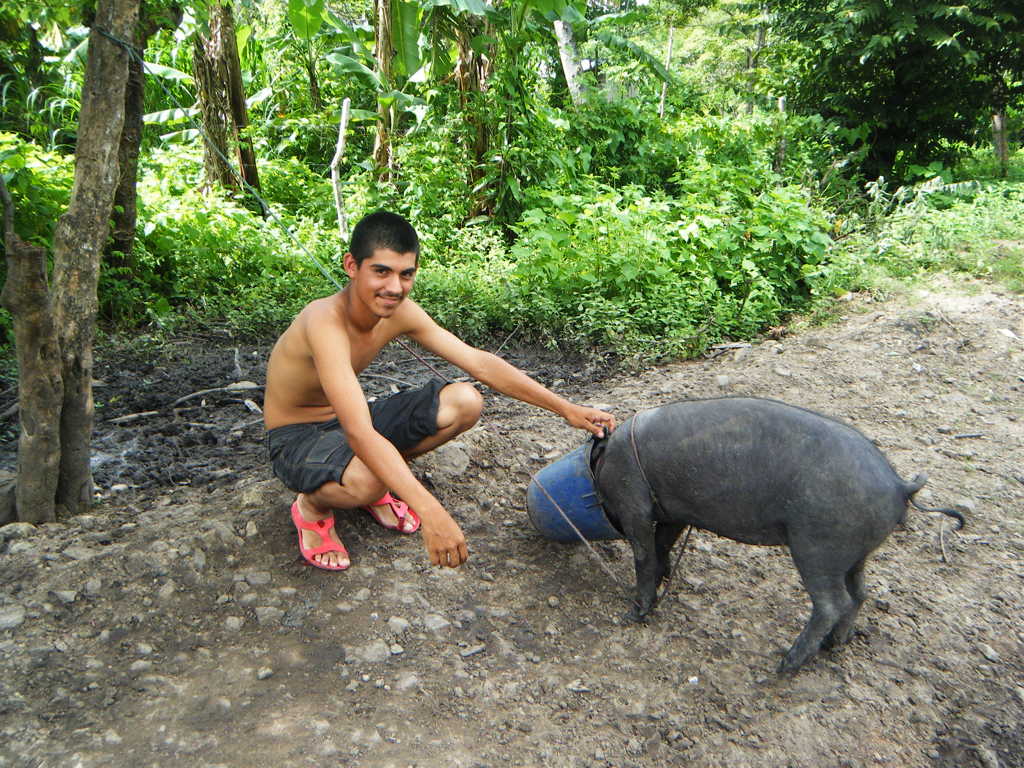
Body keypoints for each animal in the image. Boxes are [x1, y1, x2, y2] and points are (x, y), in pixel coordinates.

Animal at [589, 397, 962, 671]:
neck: (604, 463)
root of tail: (899, 484)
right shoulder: (673, 511)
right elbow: (662, 545)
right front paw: (664, 579)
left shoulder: (634, 503)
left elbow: (644, 554)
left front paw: (634, 614)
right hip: (855, 553)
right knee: (859, 594)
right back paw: (834, 645)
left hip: (817, 547)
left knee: (833, 603)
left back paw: (786, 665)